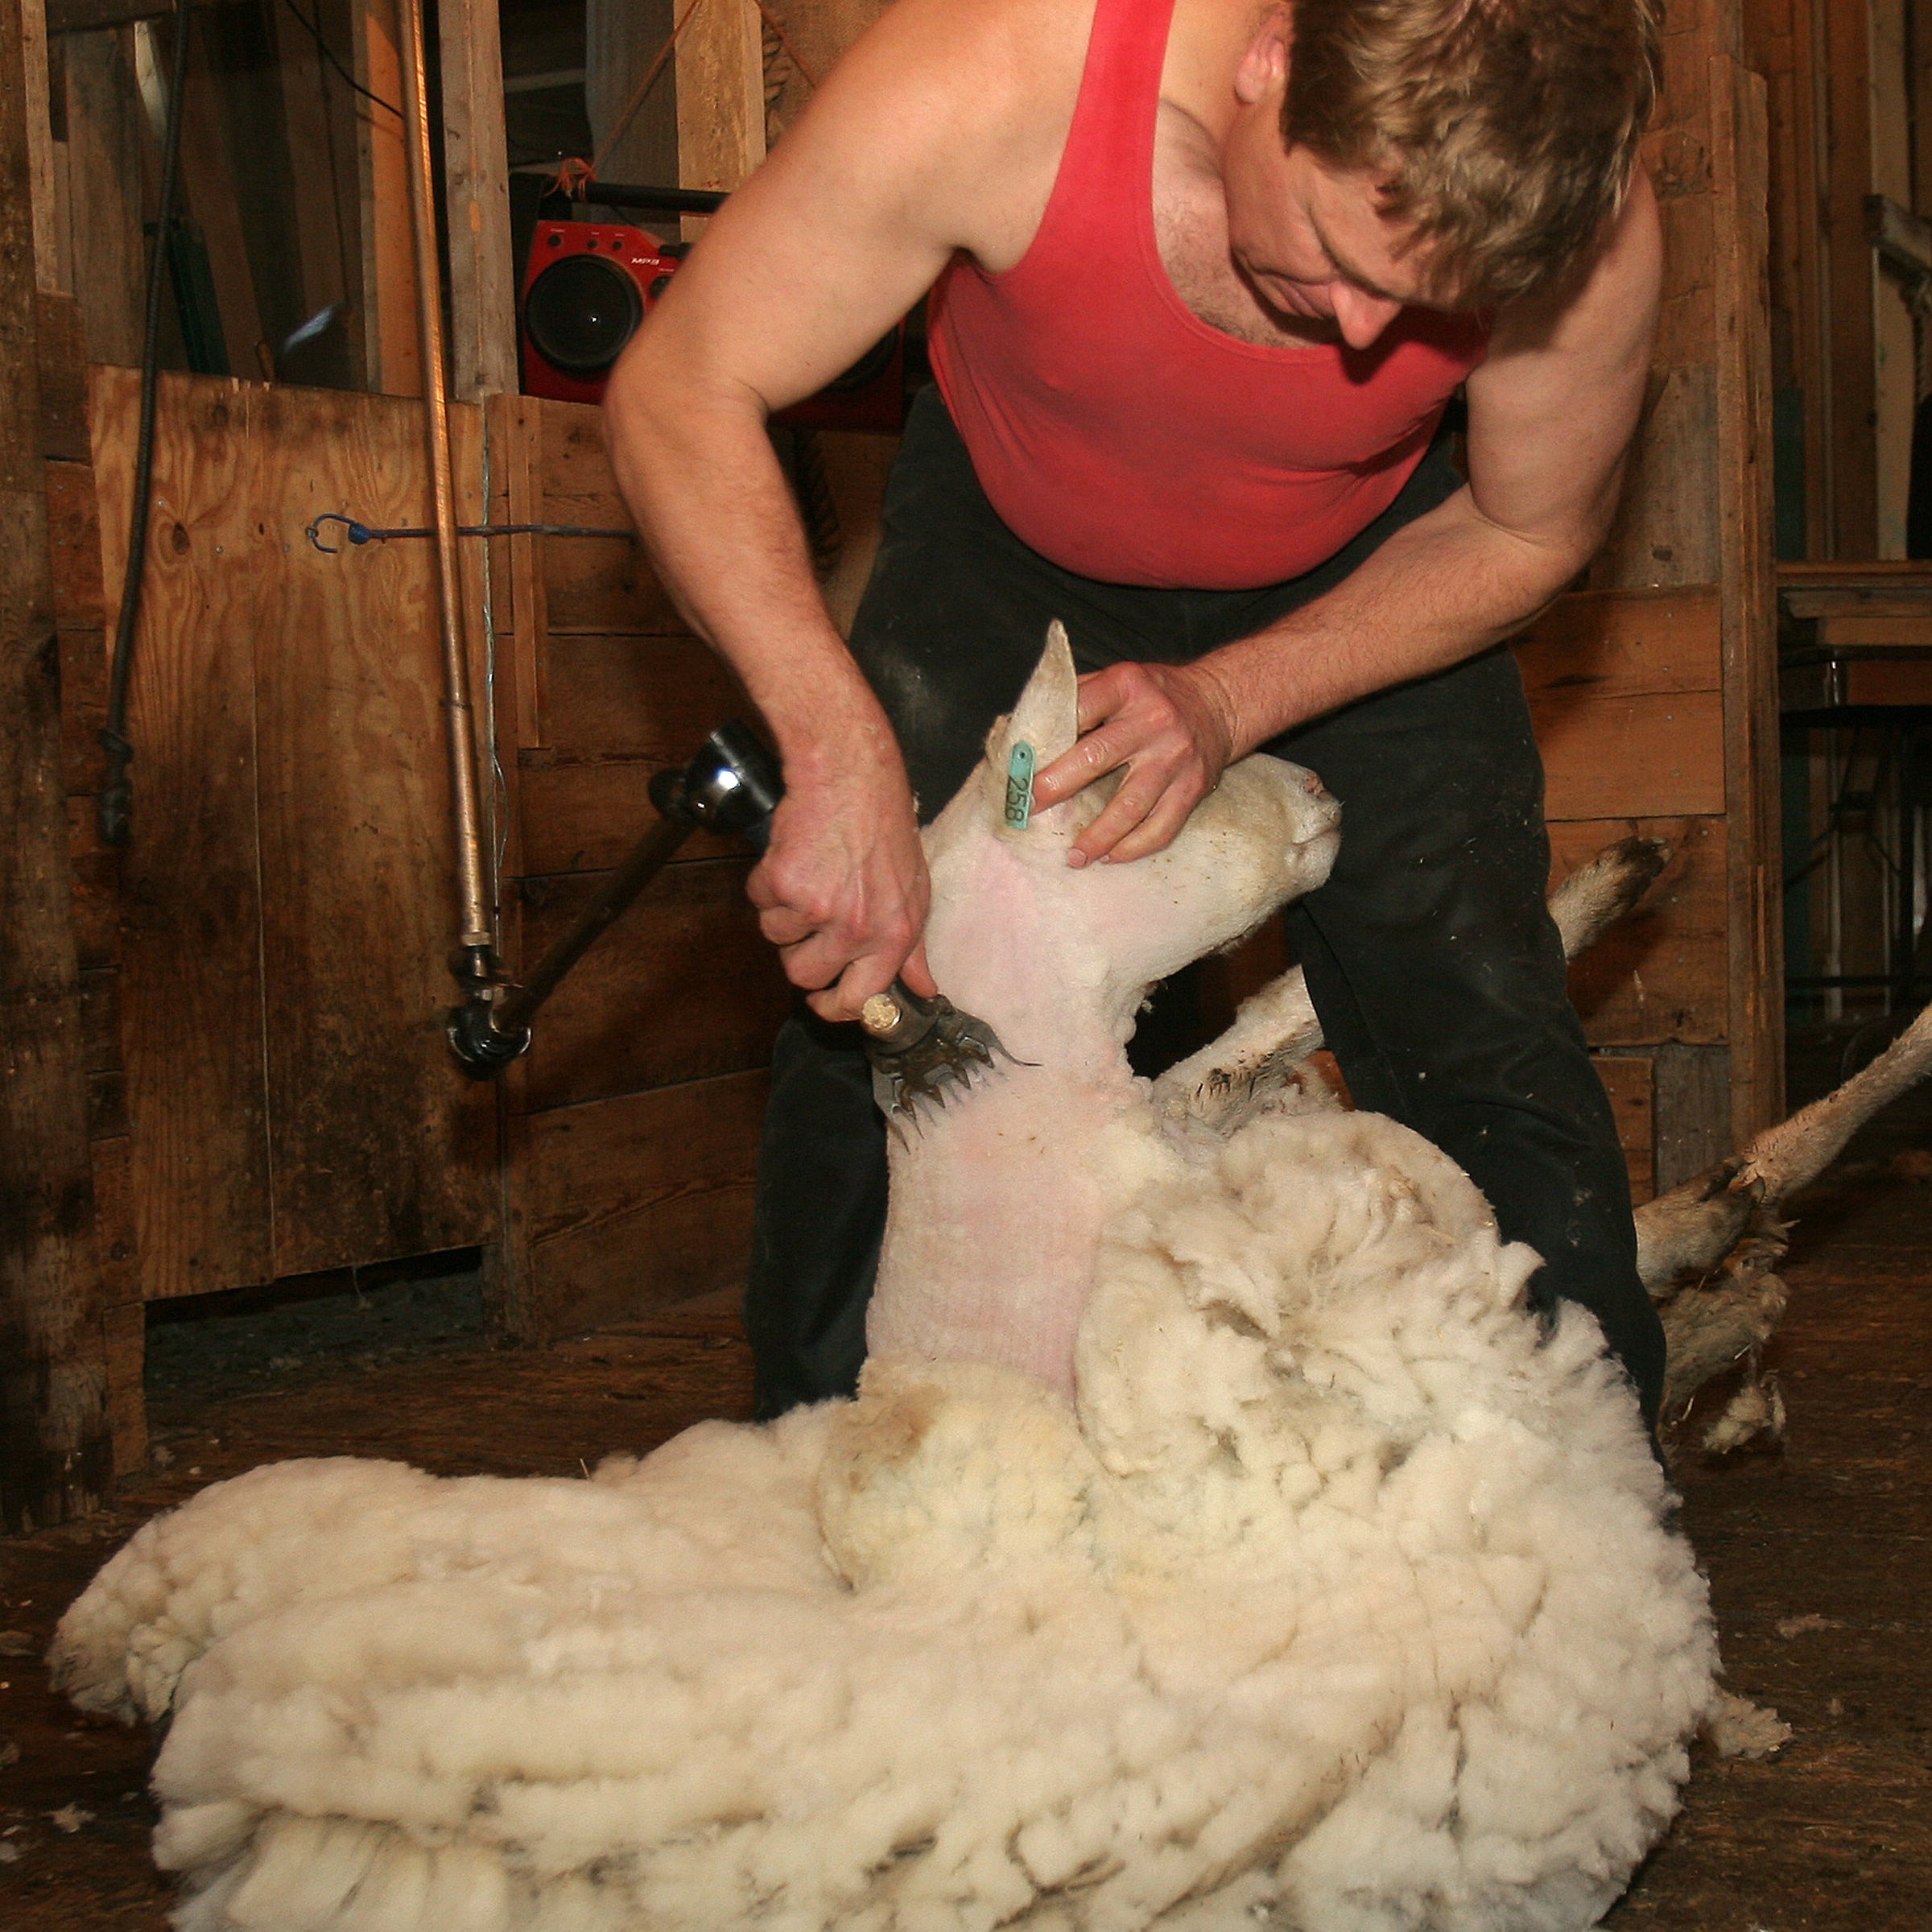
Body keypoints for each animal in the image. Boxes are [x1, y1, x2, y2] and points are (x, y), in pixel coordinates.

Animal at [56, 630, 1723, 1932]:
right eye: (1157, 785)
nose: (1327, 798)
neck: (1039, 1114)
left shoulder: (1191, 1120)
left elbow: (1269, 1036)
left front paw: (1608, 884)